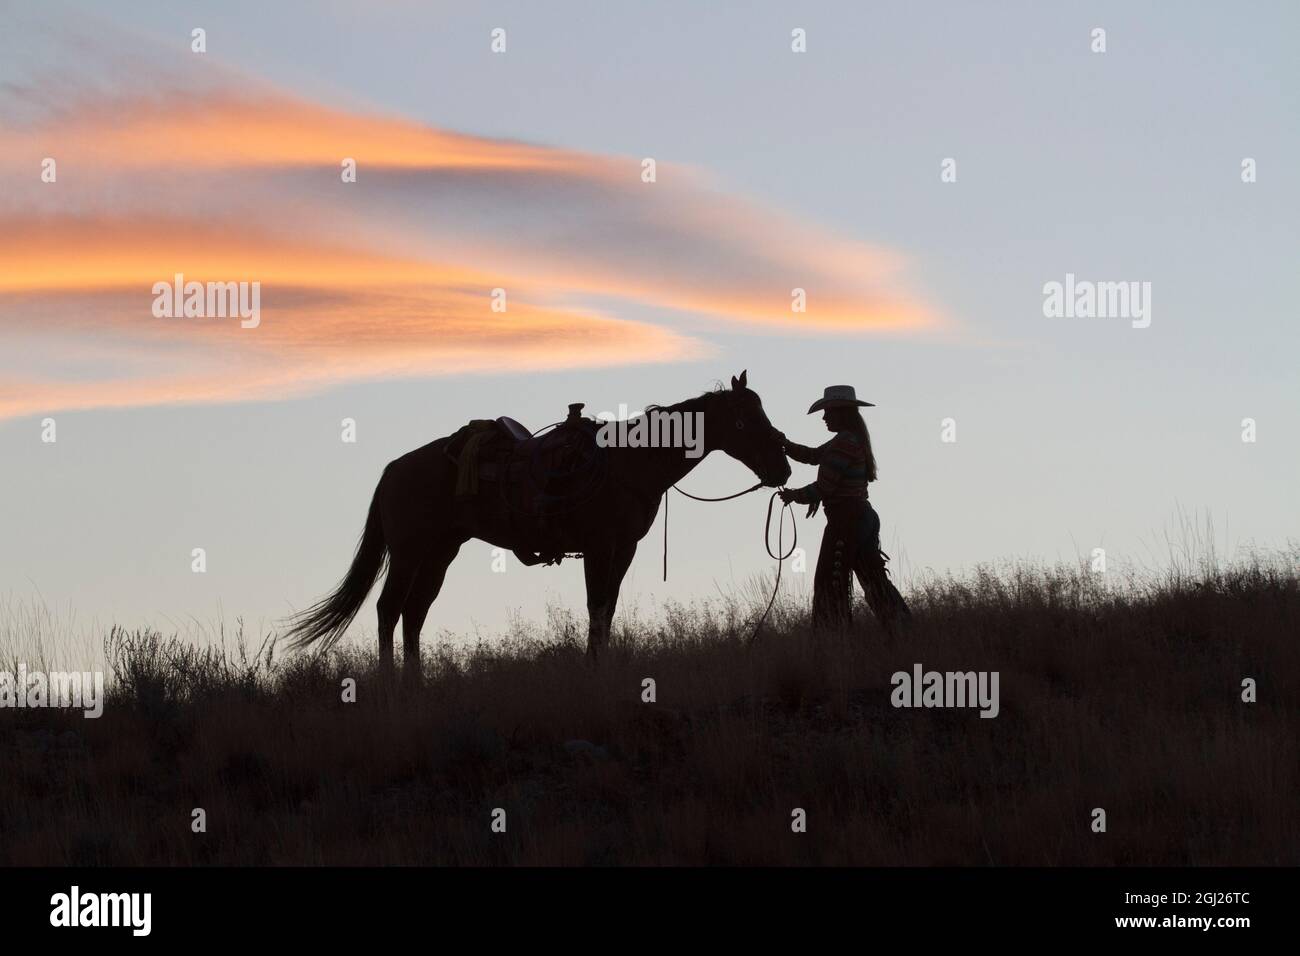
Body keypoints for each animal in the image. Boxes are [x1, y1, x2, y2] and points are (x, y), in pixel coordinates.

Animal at [287, 369, 790, 671]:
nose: (783, 469)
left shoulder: (623, 549)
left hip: (440, 553)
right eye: (745, 420)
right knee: (390, 609)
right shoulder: (600, 546)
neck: (629, 463)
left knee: (414, 612)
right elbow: (596, 606)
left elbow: (608, 607)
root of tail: (393, 469)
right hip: (410, 552)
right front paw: (594, 669)